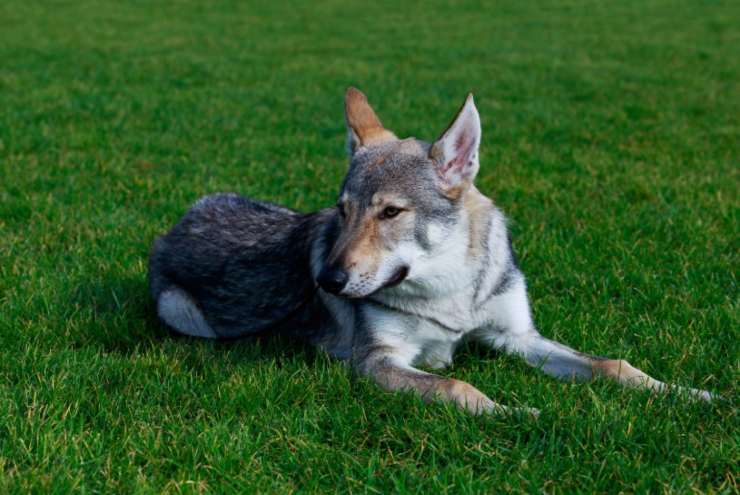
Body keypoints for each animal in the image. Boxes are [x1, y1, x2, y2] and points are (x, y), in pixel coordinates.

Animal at [146, 89, 716, 414]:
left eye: (390, 213)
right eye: (343, 211)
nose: (327, 281)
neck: (450, 295)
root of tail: (175, 224)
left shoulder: (516, 336)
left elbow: (614, 366)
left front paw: (692, 396)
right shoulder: (376, 362)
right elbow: (459, 387)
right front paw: (520, 414)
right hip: (187, 318)